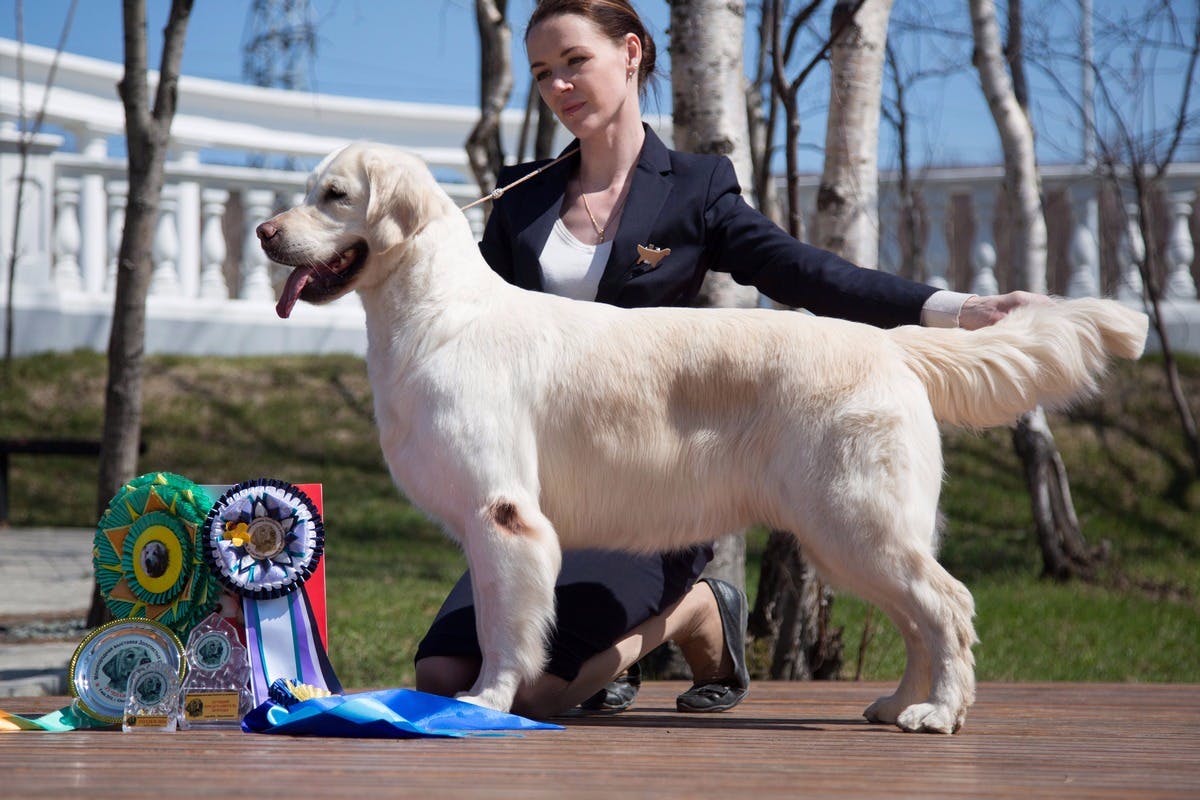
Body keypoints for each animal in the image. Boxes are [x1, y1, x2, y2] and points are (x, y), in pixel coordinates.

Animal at [260, 142, 1142, 734]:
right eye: (305, 192)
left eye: (334, 194)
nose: (267, 233)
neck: (433, 313)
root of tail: (890, 345)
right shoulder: (487, 525)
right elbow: (484, 623)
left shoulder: (504, 516)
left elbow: (505, 632)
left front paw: (484, 705)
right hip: (853, 533)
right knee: (916, 618)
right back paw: (898, 701)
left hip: (856, 520)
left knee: (947, 605)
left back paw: (940, 712)